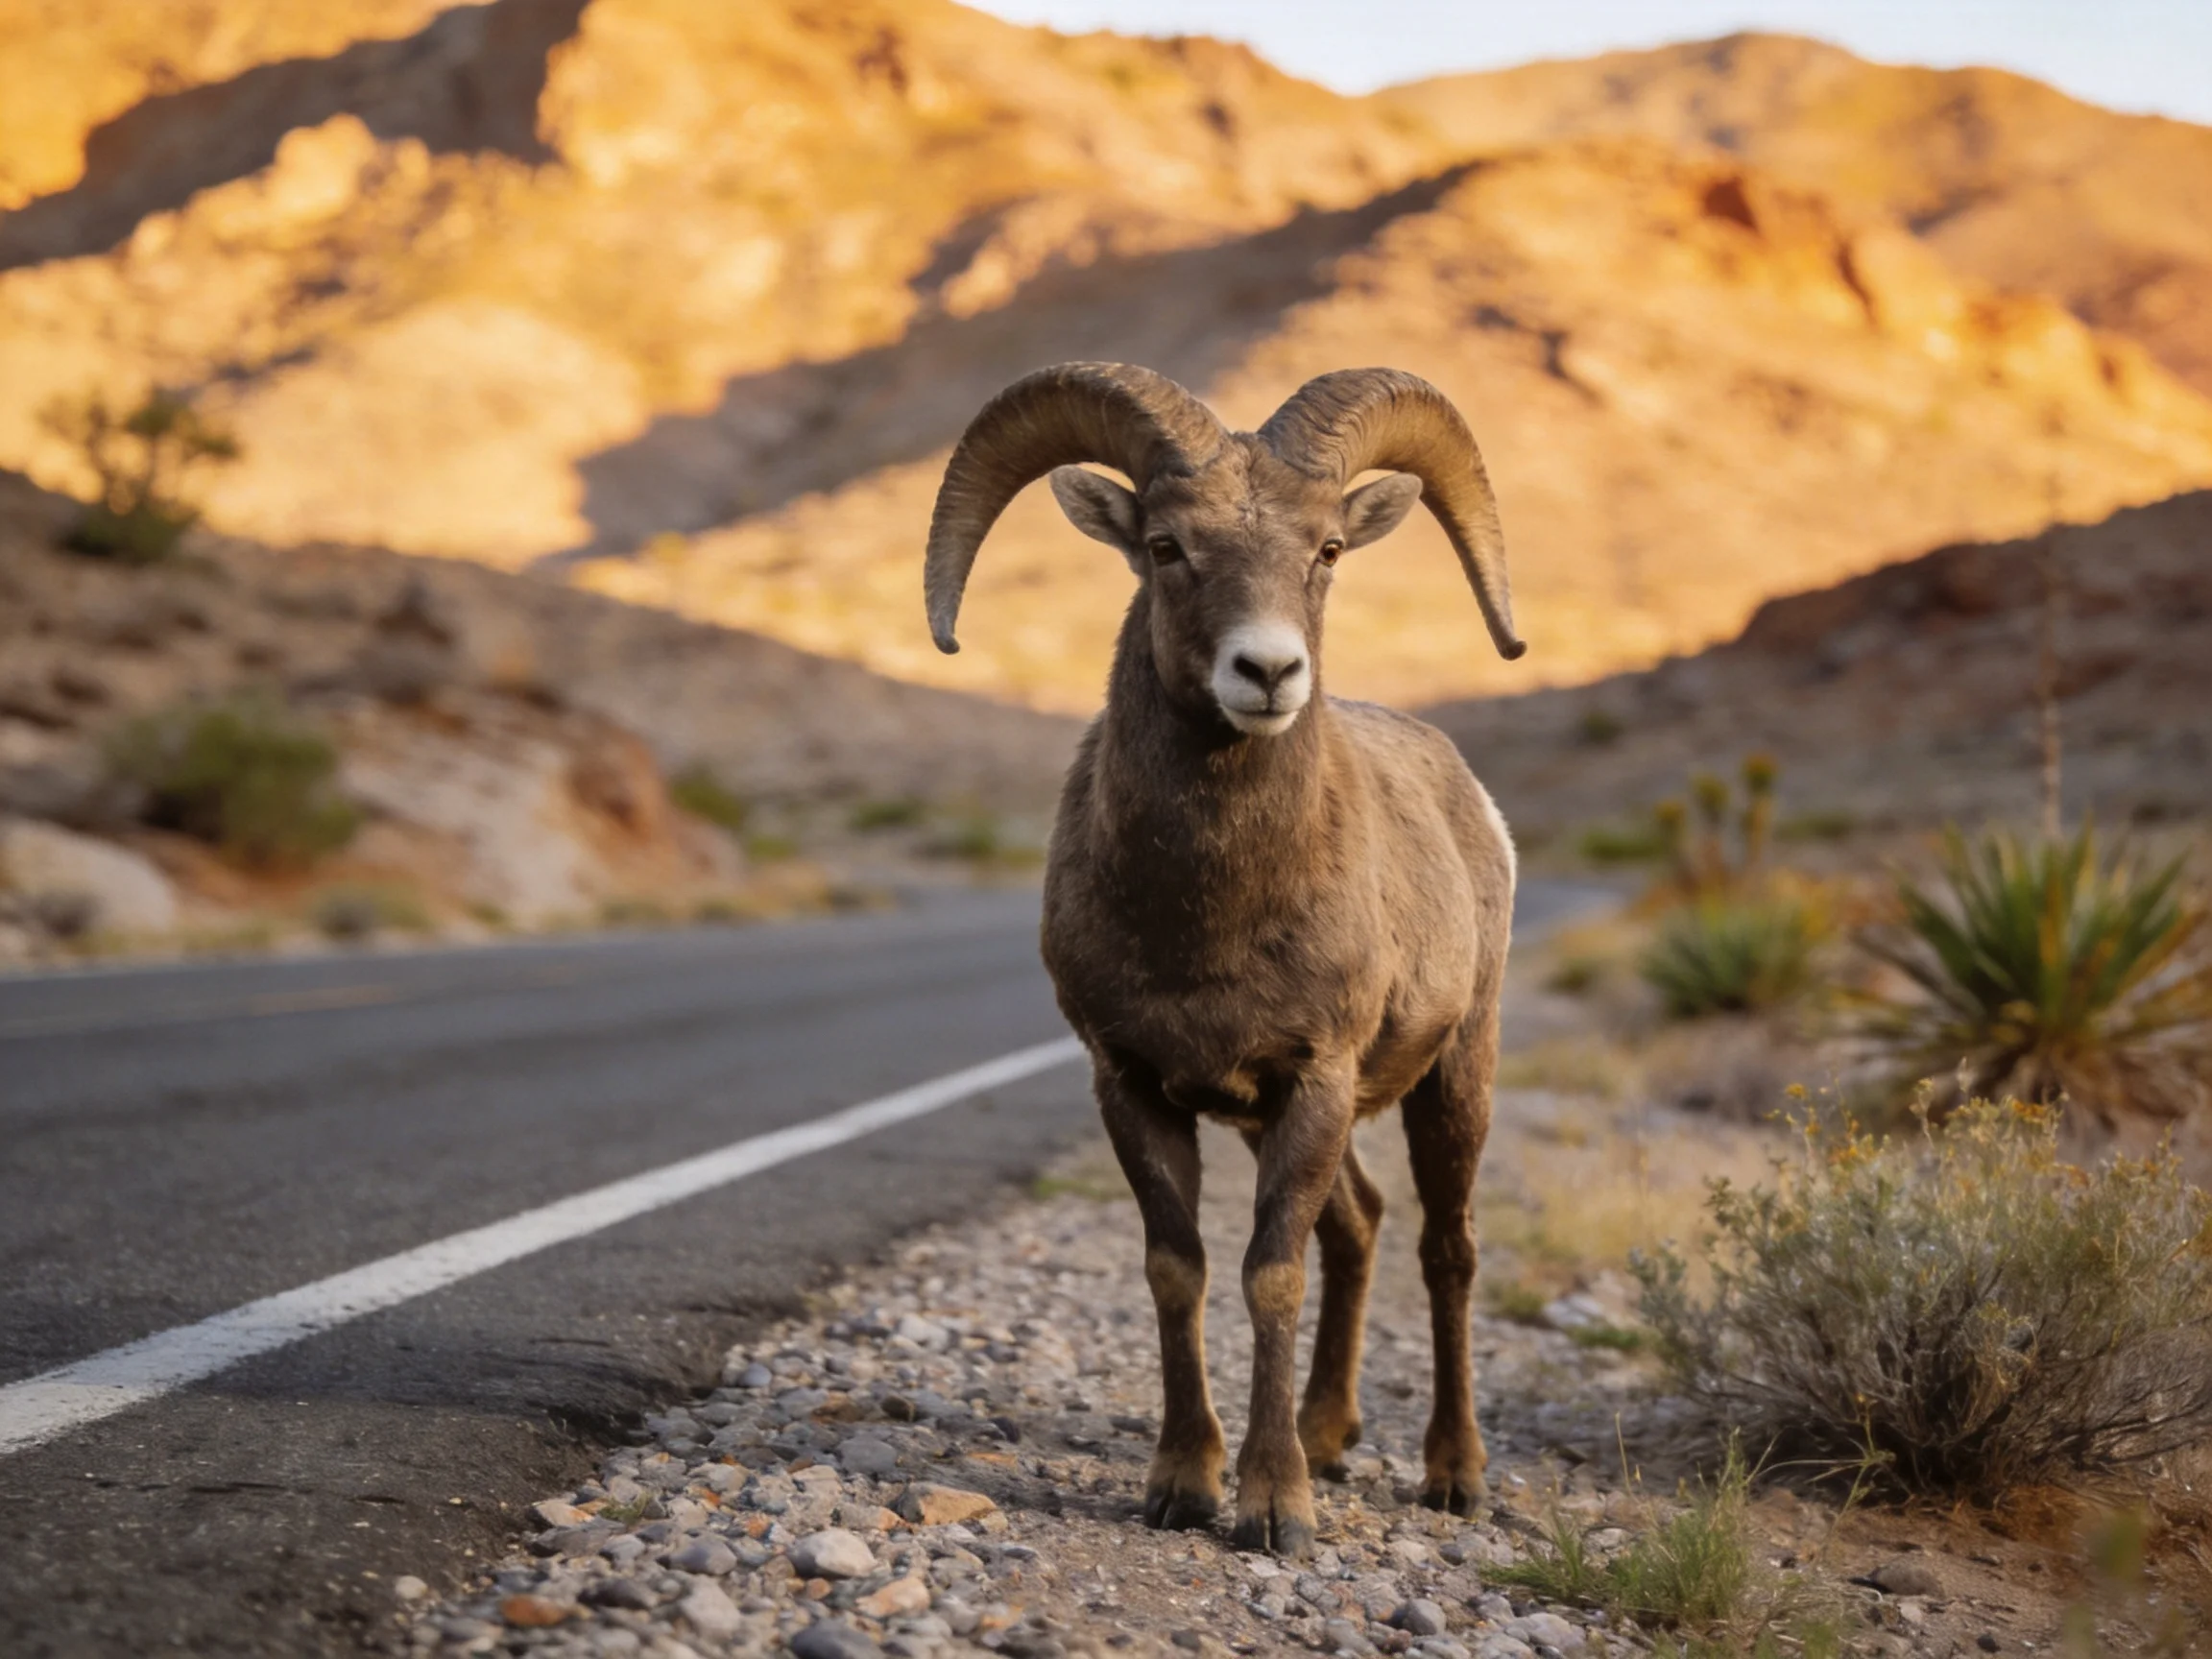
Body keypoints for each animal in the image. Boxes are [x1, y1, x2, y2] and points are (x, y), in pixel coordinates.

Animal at [922, 363, 1524, 1557]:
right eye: (1166, 545)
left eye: (1327, 548)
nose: (1268, 670)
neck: (1208, 918)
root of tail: (1473, 800)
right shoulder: (1137, 1085)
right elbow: (1180, 1268)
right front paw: (1185, 1487)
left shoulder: (1315, 1079)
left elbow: (1270, 1274)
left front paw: (1274, 1508)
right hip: (1286, 1120)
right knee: (1362, 1224)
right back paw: (1330, 1437)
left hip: (1453, 1076)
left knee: (1447, 1249)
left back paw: (1453, 1477)